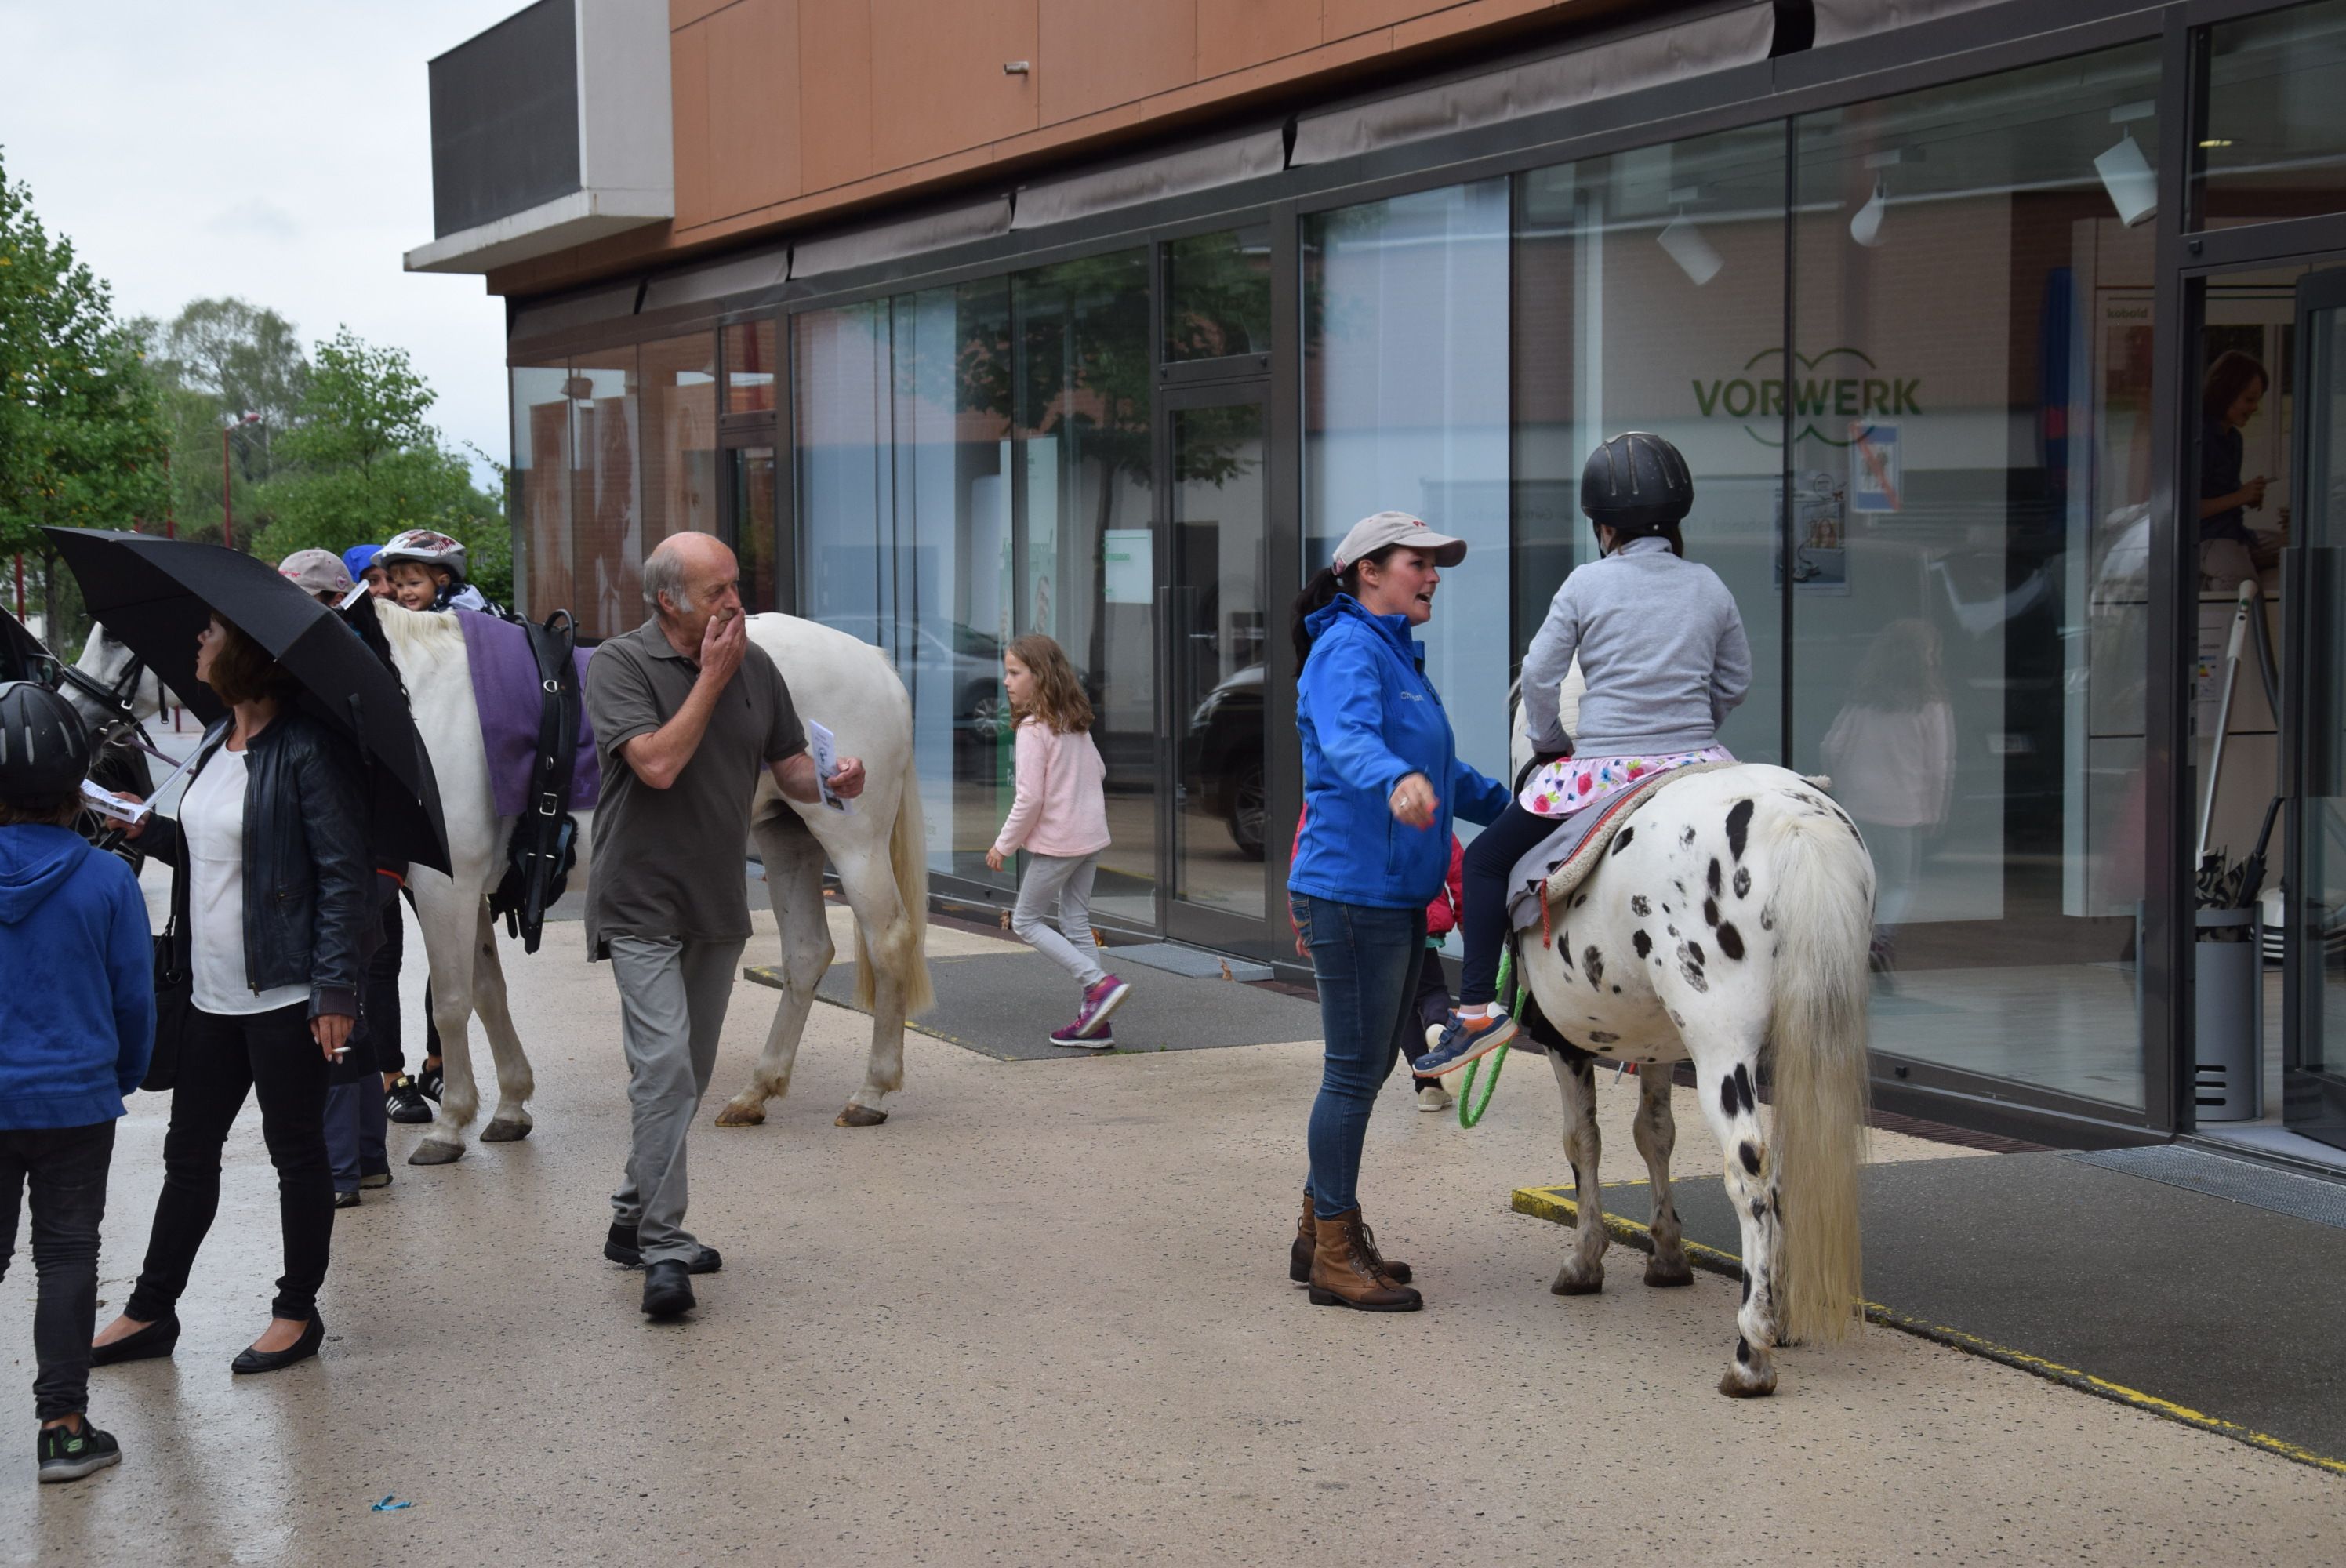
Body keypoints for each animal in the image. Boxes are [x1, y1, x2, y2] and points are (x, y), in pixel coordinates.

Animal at [366, 600, 934, 1164]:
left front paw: (450, 1125)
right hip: (788, 838)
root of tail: (876, 662)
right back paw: (756, 1091)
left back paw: (870, 1093)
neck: (419, 695)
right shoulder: (469, 889)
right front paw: (509, 1106)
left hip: (853, 842)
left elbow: (451, 1003)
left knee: (888, 943)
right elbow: (487, 992)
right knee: (807, 953)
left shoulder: (445, 886)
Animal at [1506, 679, 1875, 1397]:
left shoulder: (1564, 1044)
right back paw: (1782, 1315)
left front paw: (1585, 1261)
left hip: (1722, 1050)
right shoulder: (1659, 1051)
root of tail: (1794, 823)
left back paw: (1751, 1351)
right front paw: (1668, 1254)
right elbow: (1654, 1135)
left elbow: (1582, 1141)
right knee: (1788, 1167)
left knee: (1749, 1172)